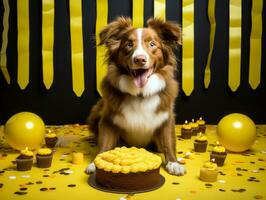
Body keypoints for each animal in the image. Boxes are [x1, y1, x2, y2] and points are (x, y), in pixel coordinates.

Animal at [85, 17, 185, 176]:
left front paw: (174, 163)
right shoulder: (108, 119)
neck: (140, 94)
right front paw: (95, 163)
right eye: (129, 44)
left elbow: (169, 143)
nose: (140, 59)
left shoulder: (166, 118)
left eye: (152, 44)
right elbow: (105, 143)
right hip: (95, 112)